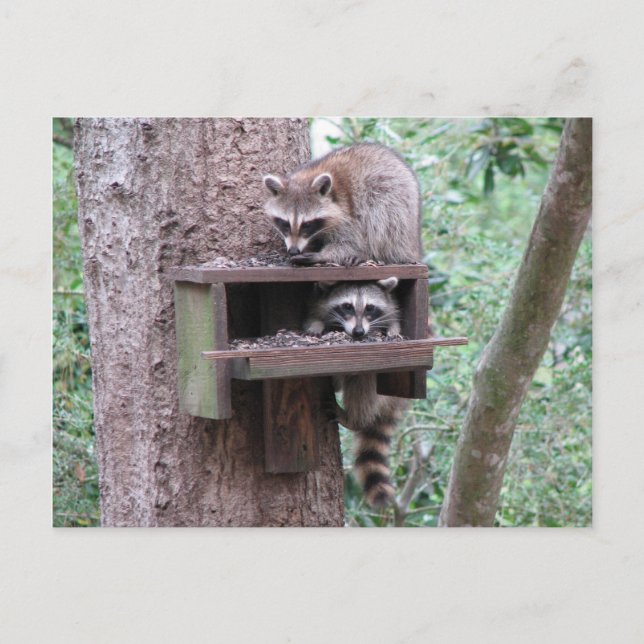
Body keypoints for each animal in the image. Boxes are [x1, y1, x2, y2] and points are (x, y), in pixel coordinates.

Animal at [263, 143, 421, 266]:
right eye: (285, 223)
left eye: (307, 224)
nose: (293, 250)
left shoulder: (348, 213)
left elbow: (351, 242)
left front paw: (324, 255)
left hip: (391, 193)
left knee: (383, 222)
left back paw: (369, 254)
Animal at [304, 278, 407, 508]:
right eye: (347, 306)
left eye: (370, 308)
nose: (358, 333)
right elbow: (315, 315)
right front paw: (316, 324)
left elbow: (394, 318)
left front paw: (394, 327)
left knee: (362, 382)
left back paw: (355, 419)